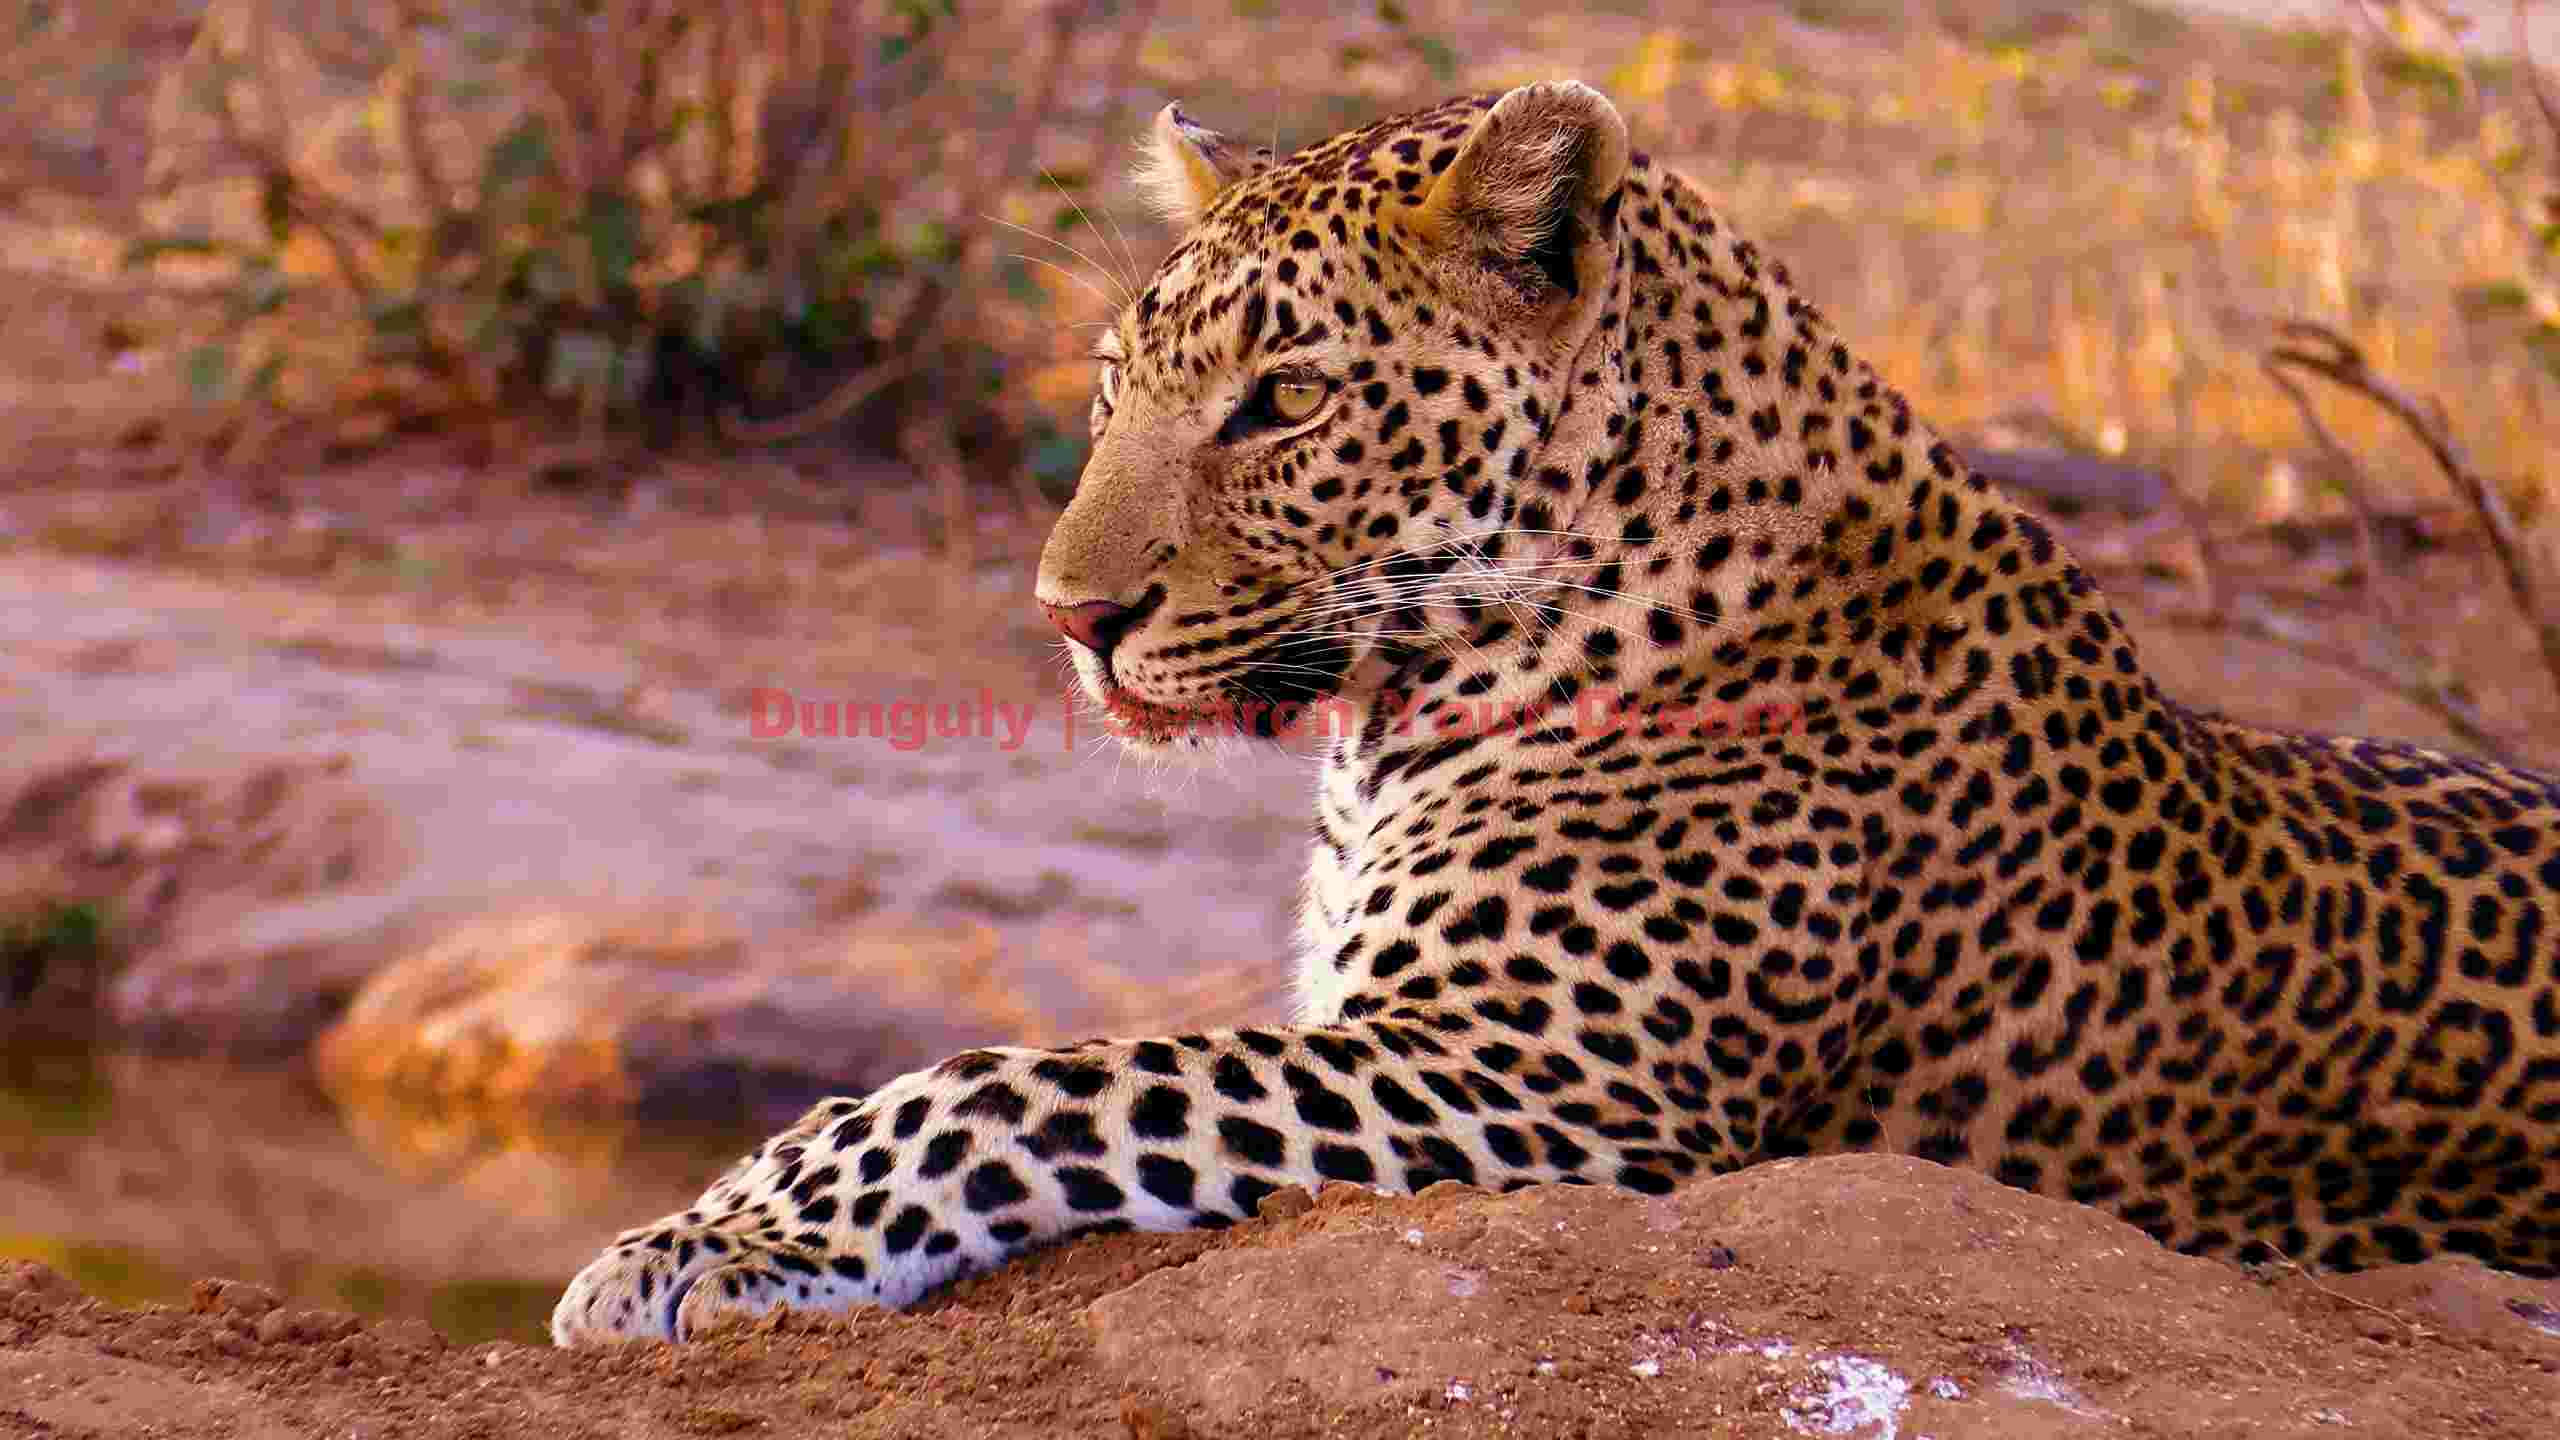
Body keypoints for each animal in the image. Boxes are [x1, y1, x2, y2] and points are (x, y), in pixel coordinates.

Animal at [552, 81, 2560, 1345]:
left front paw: (709, 1240)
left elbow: (1018, 1081)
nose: (1070, 619)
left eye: (1284, 401)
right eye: (1119, 383)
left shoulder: (1537, 1082)